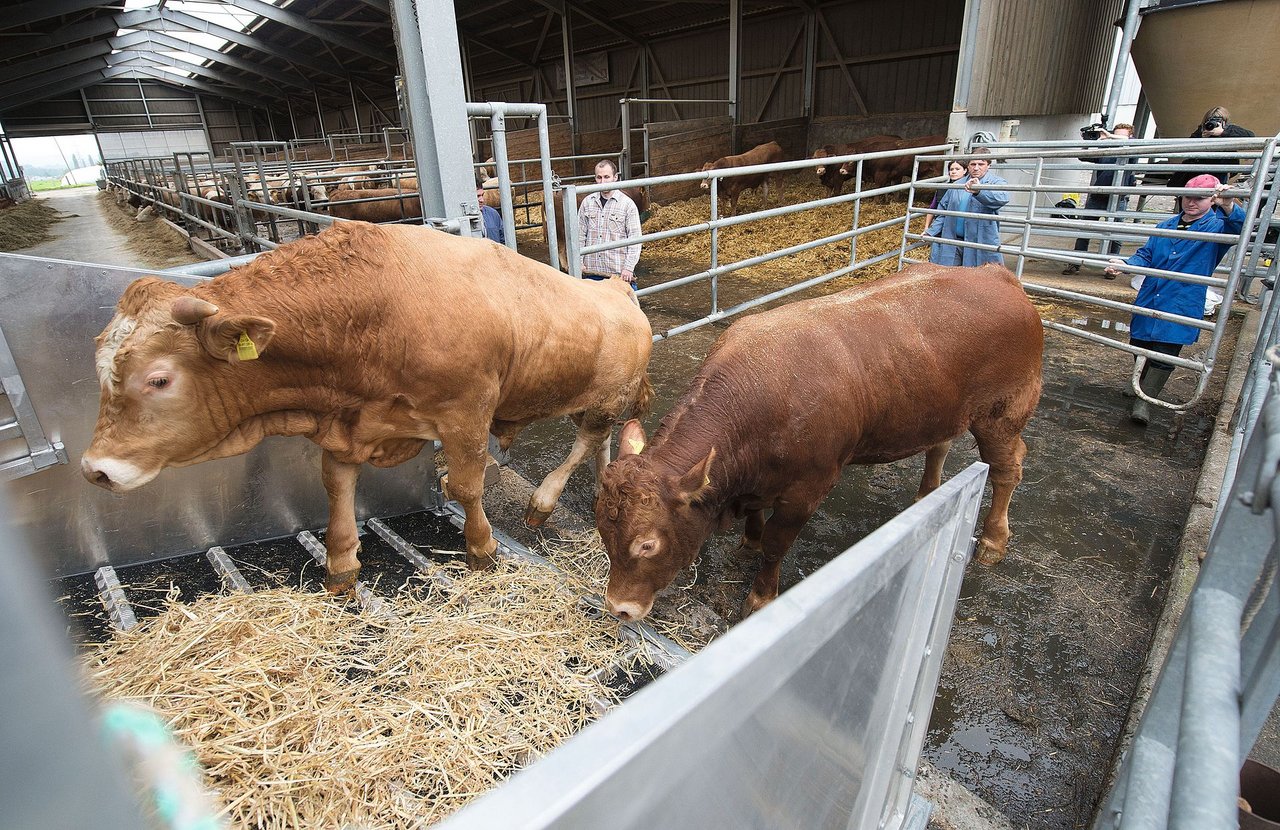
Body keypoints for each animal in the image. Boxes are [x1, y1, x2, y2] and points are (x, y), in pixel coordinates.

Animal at [82, 220, 650, 594]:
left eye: (159, 379)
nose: (95, 470)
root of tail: (617, 290)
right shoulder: (350, 427)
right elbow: (336, 489)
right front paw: (341, 565)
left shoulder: (466, 413)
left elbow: (465, 486)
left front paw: (482, 550)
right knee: (598, 442)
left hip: (608, 396)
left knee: (584, 441)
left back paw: (544, 501)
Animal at [593, 262, 1044, 619]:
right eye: (603, 533)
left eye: (647, 545)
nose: (618, 608)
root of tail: (996, 274)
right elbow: (757, 520)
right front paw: (748, 541)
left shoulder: (807, 490)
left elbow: (776, 545)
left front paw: (761, 595)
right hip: (944, 409)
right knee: (941, 445)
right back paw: (926, 495)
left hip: (1002, 413)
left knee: (1007, 469)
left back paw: (993, 540)